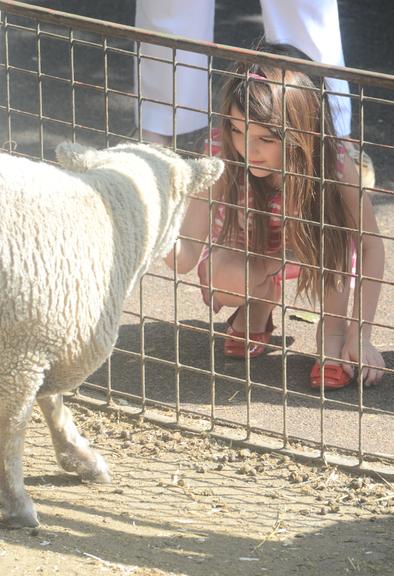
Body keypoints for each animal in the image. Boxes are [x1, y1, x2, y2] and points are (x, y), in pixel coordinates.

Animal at [0, 141, 223, 528]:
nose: (187, 255)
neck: (110, 216)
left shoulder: (45, 340)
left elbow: (53, 402)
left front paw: (81, 458)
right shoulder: (23, 352)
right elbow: (12, 428)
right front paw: (17, 504)